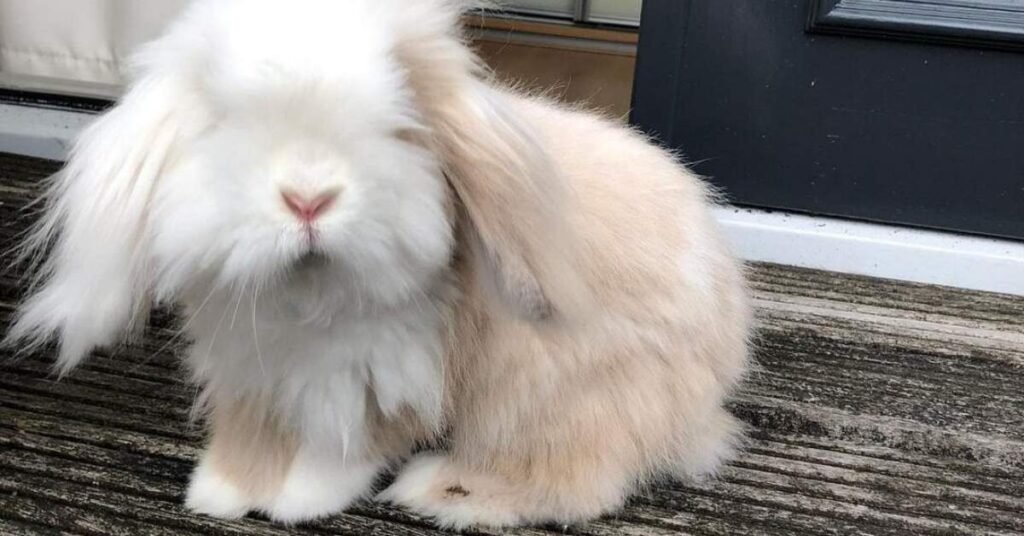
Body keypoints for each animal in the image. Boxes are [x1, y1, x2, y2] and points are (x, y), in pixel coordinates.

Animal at [5, 0, 752, 529]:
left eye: (399, 122)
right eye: (222, 120)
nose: (309, 197)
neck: (306, 297)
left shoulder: (377, 377)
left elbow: (341, 448)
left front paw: (296, 500)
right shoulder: (252, 370)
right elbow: (250, 434)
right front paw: (221, 490)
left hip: (559, 396)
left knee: (575, 482)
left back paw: (445, 492)